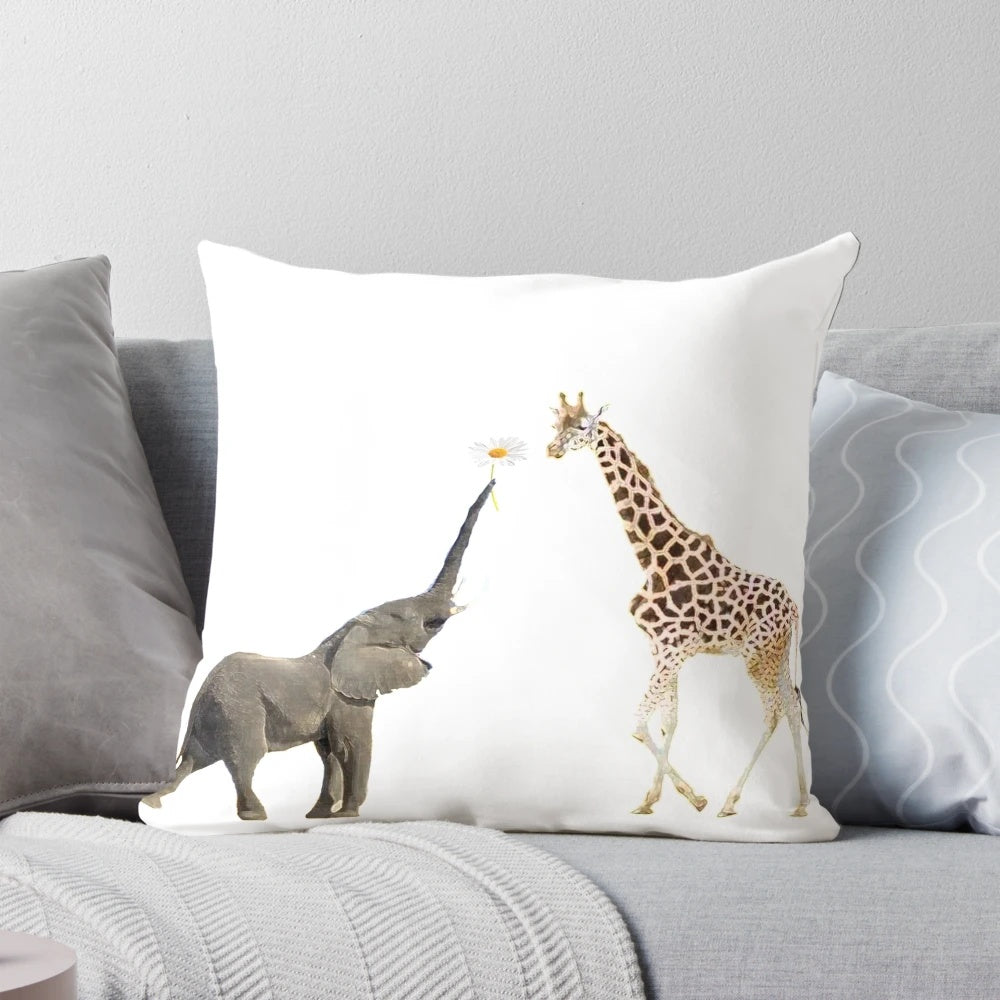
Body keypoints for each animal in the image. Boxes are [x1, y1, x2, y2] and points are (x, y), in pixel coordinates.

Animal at [143, 479, 495, 821]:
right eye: (426, 623)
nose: (492, 482)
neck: (349, 634)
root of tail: (200, 694)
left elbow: (329, 753)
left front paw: (320, 815)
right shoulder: (347, 698)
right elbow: (351, 746)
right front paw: (349, 814)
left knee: (193, 762)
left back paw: (152, 804)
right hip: (239, 710)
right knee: (246, 756)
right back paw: (255, 815)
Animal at [546, 392, 809, 819]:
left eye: (583, 427)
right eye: (556, 426)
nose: (551, 449)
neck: (653, 559)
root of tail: (794, 606)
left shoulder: (674, 648)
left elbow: (639, 722)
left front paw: (692, 798)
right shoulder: (662, 648)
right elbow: (669, 720)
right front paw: (654, 798)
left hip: (756, 657)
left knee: (771, 711)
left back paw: (731, 801)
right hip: (777, 653)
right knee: (792, 706)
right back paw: (800, 802)